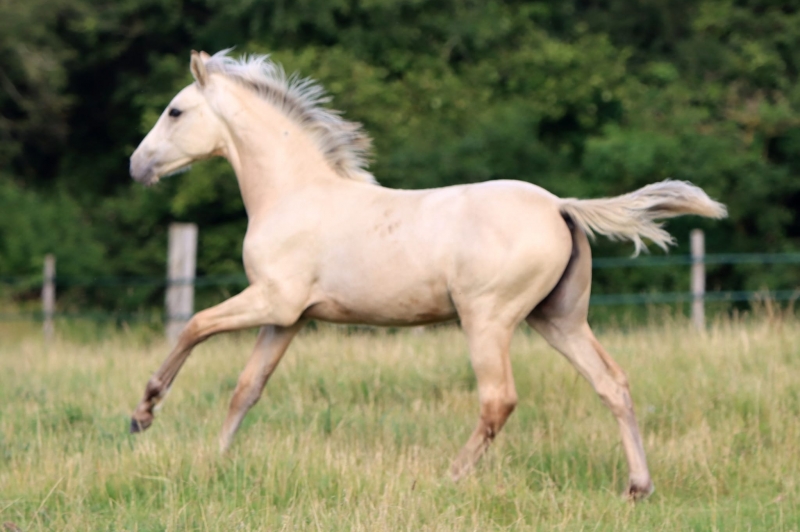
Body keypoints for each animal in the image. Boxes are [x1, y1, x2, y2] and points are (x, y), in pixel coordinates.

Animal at [130, 50, 724, 498]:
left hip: (488, 319)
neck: (294, 193)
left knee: (498, 400)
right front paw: (215, 459)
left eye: (175, 111)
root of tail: (560, 206)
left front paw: (144, 413)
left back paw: (449, 479)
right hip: (559, 319)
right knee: (612, 384)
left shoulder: (272, 300)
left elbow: (195, 325)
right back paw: (638, 486)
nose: (137, 166)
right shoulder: (288, 318)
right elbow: (246, 389)